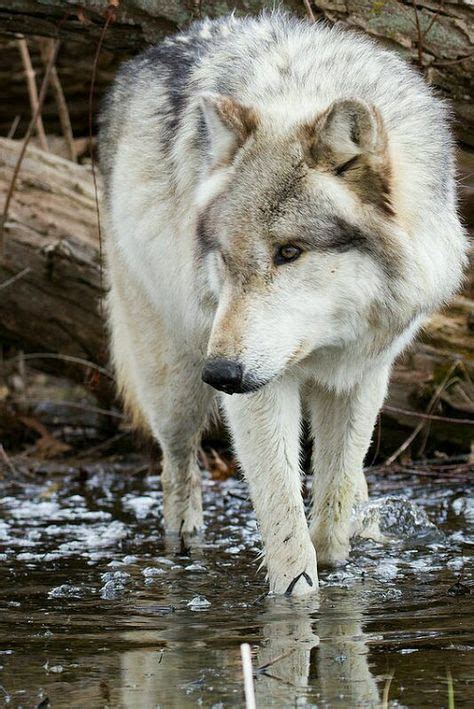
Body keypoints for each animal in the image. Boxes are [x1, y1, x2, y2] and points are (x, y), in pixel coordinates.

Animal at [99, 12, 466, 592]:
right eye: (225, 257)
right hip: (174, 381)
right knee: (176, 467)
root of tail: (148, 54)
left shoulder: (363, 373)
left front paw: (339, 553)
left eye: (289, 252)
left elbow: (334, 501)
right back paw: (185, 540)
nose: (220, 373)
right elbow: (284, 517)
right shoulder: (257, 388)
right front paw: (297, 595)